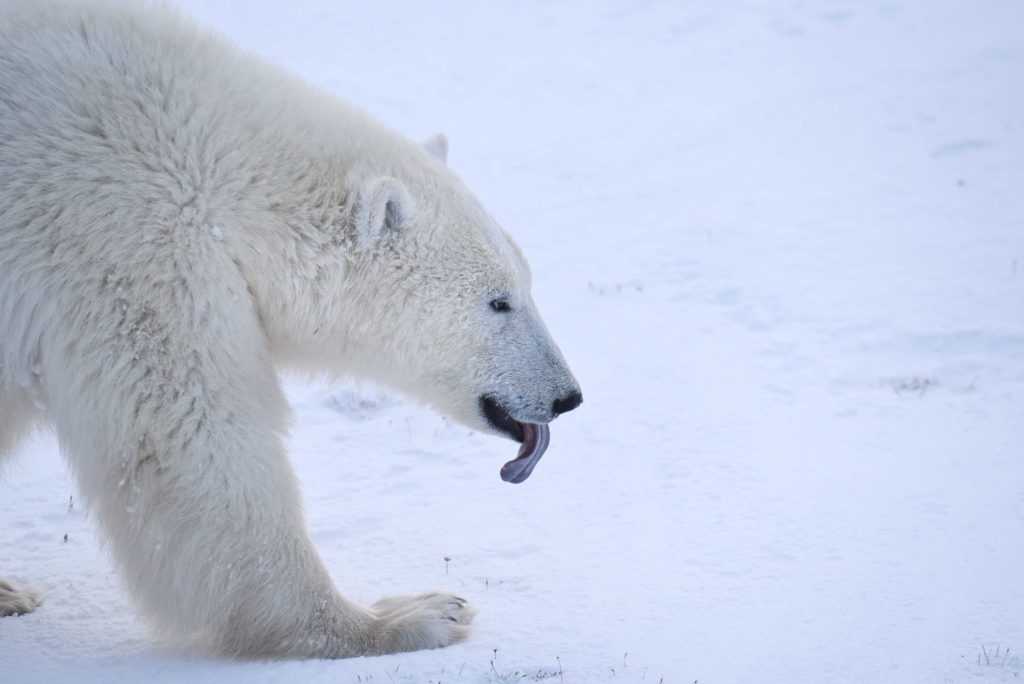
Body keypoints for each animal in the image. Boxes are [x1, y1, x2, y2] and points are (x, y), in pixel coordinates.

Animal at [0, 0, 581, 658]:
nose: (567, 396)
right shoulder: (126, 244)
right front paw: (408, 615)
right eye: (498, 301)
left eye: (527, 282)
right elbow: (190, 438)